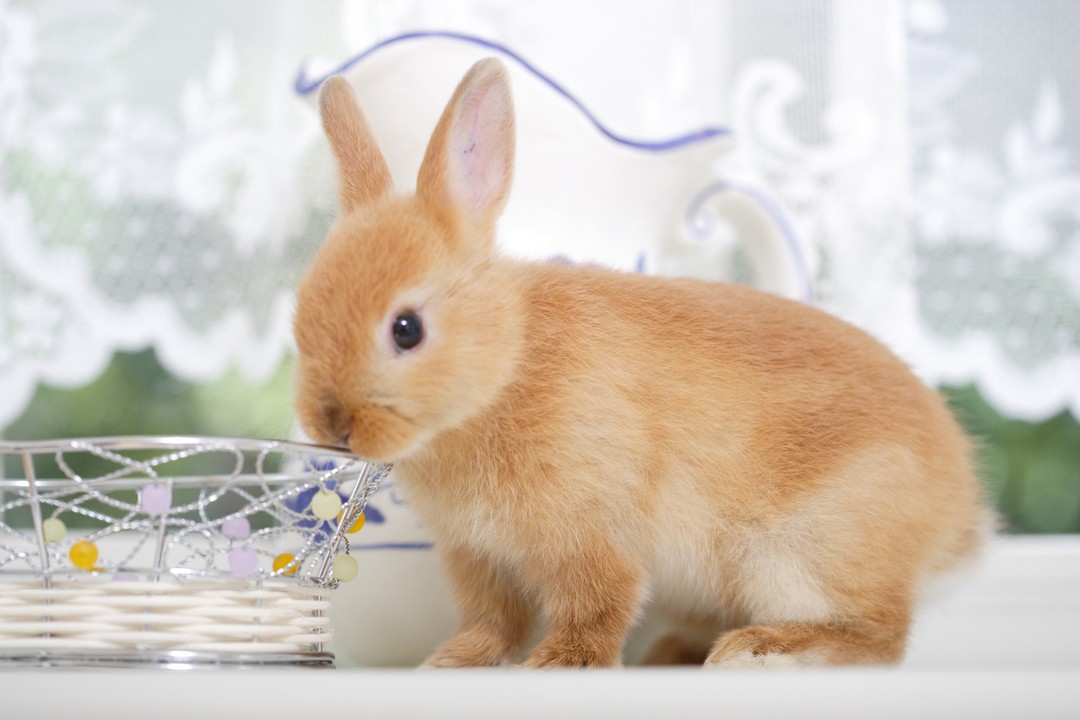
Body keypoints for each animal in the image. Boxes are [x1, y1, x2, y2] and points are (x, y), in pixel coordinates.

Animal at [291, 57, 989, 669]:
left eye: (406, 330)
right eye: (300, 316)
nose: (333, 426)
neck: (505, 370)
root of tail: (957, 515)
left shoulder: (587, 534)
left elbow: (600, 603)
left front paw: (560, 665)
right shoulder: (479, 557)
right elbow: (493, 621)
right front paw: (454, 662)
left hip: (794, 555)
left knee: (880, 635)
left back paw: (759, 652)